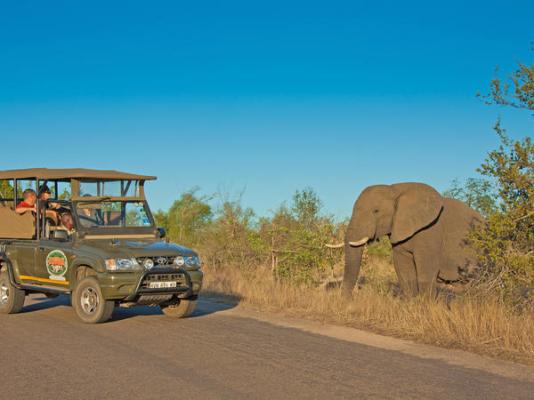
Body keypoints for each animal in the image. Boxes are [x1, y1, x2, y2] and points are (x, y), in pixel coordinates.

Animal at [330, 183, 486, 296]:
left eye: (376, 211)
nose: (348, 302)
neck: (394, 190)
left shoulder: (431, 230)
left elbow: (426, 268)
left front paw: (427, 307)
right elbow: (402, 267)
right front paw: (411, 304)